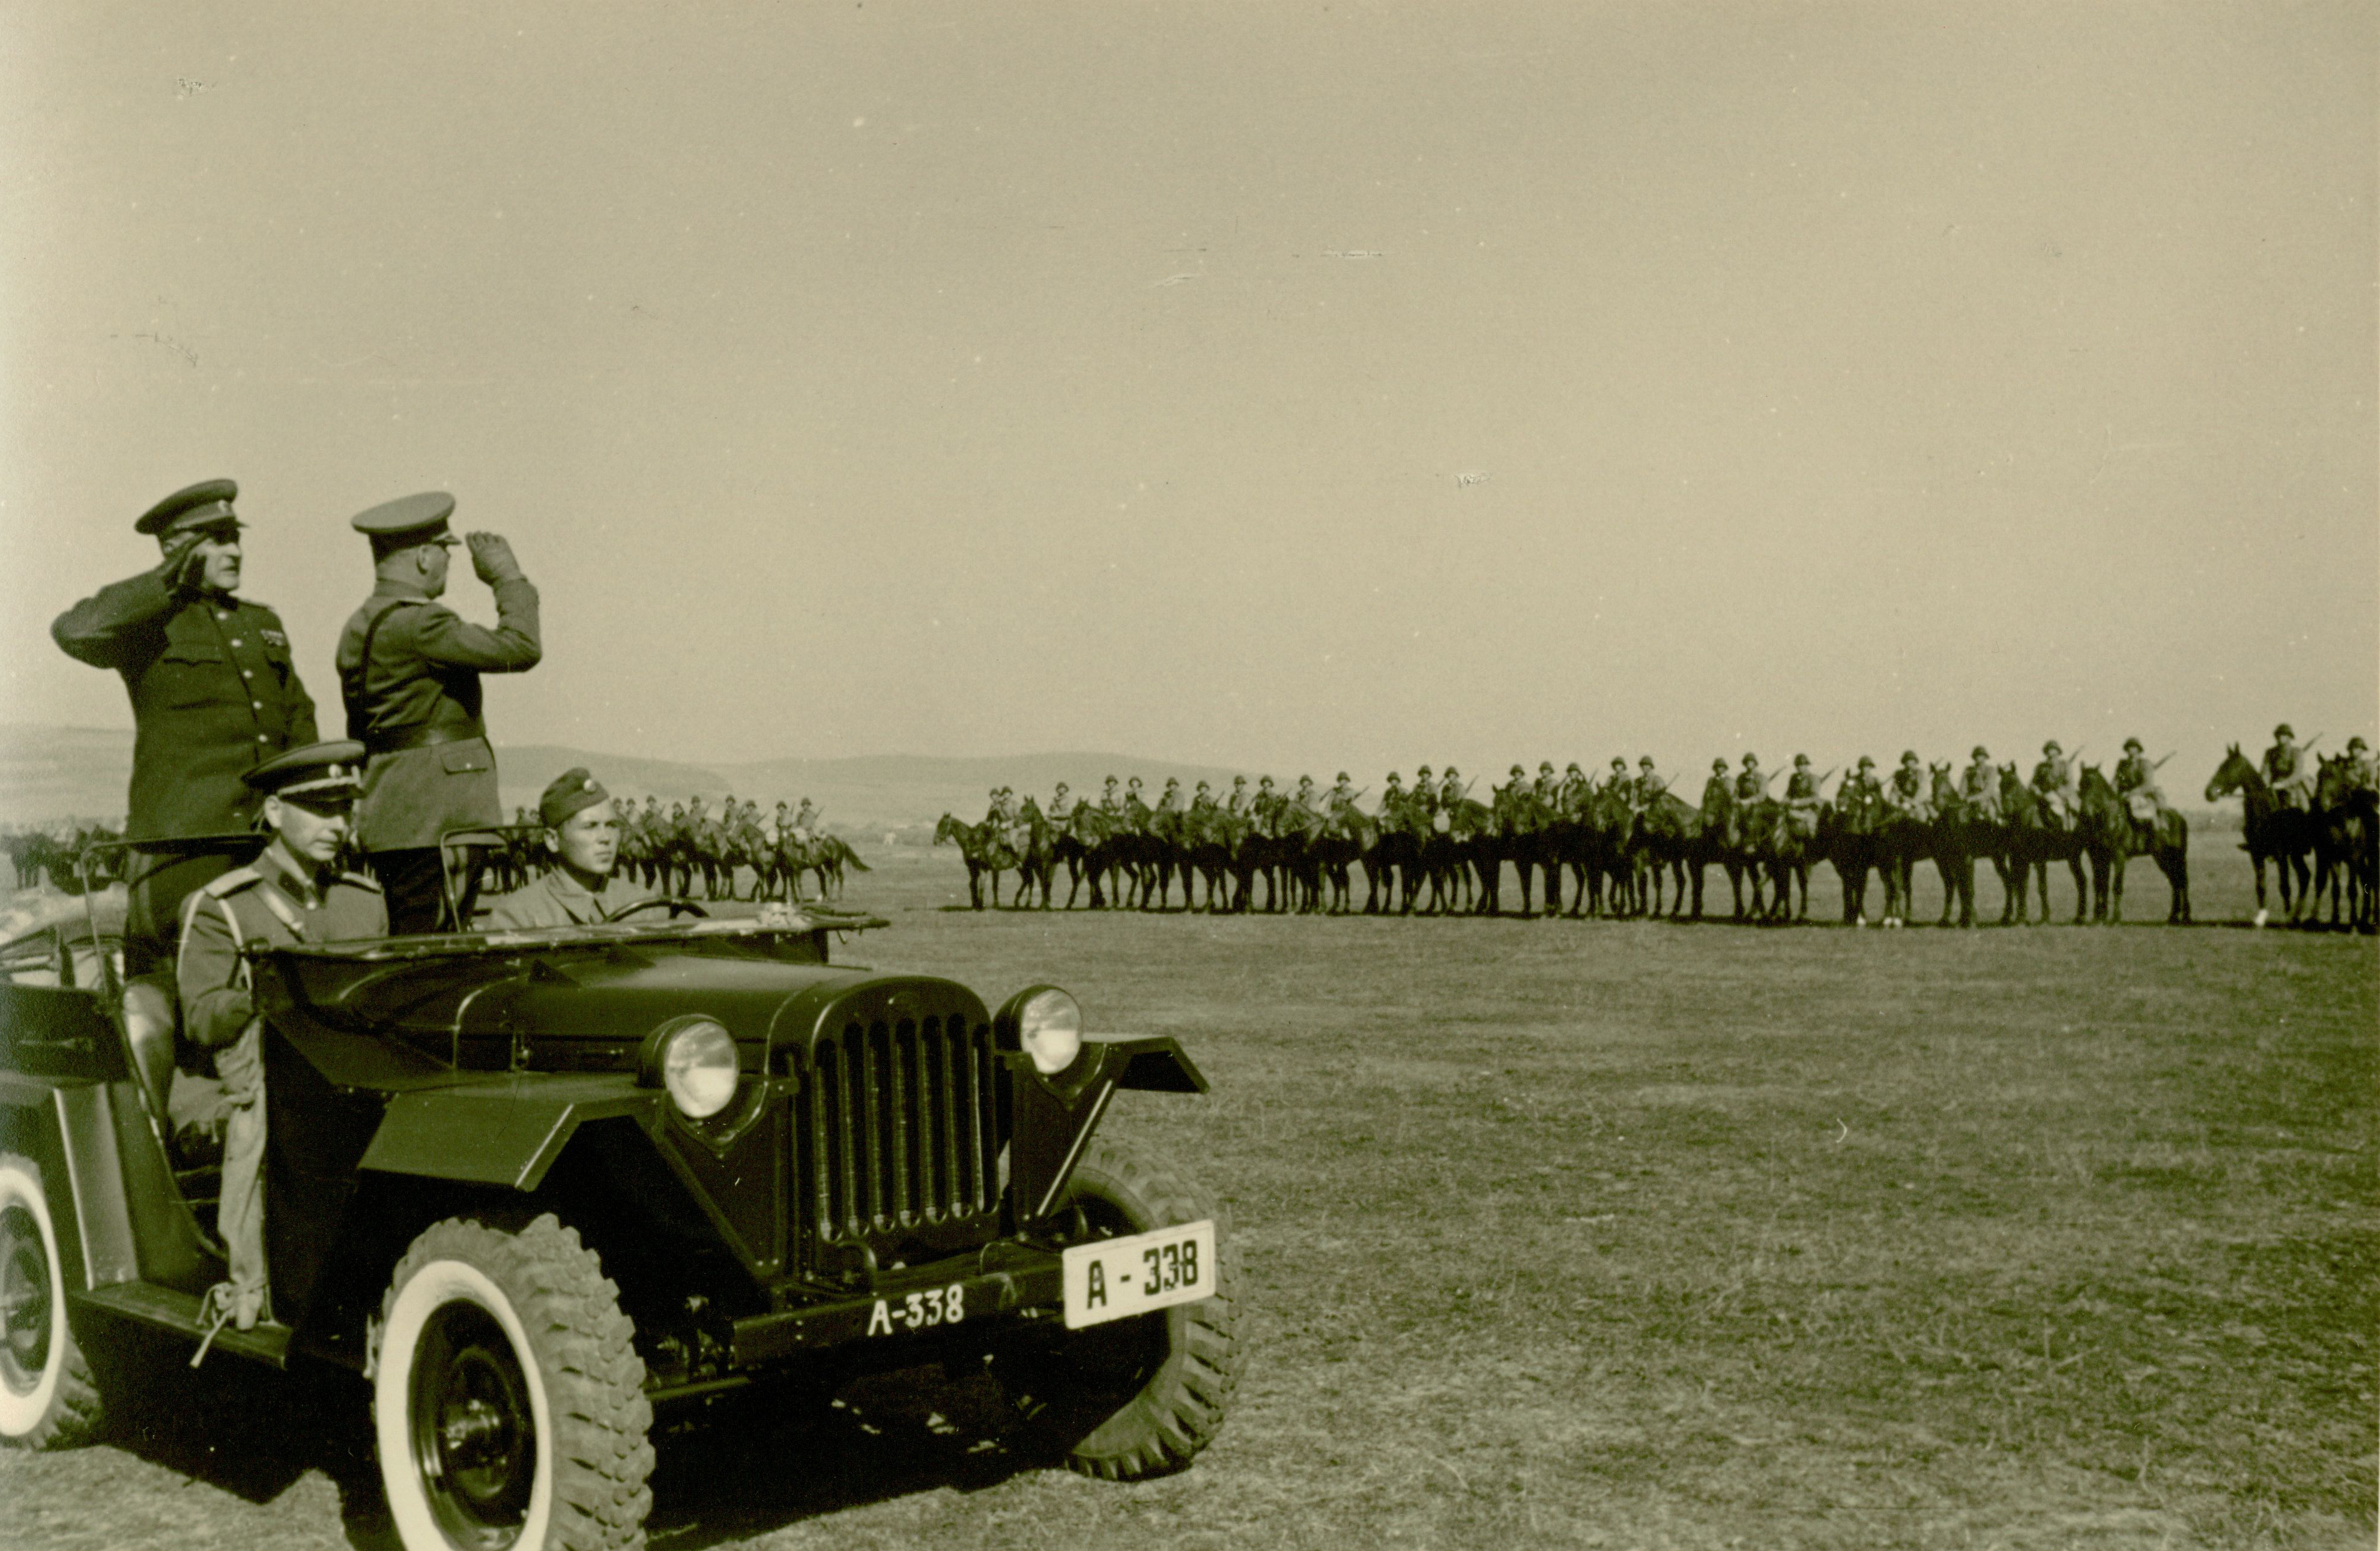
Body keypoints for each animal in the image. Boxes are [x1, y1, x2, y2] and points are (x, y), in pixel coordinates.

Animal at [2204, 745, 2316, 926]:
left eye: (2229, 767)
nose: (2209, 793)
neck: (2266, 814)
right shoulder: (2256, 855)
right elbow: (2260, 885)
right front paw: (2261, 917)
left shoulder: (2281, 854)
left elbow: (2284, 885)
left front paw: (2286, 916)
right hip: (2296, 855)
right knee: (2305, 876)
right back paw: (2297, 914)